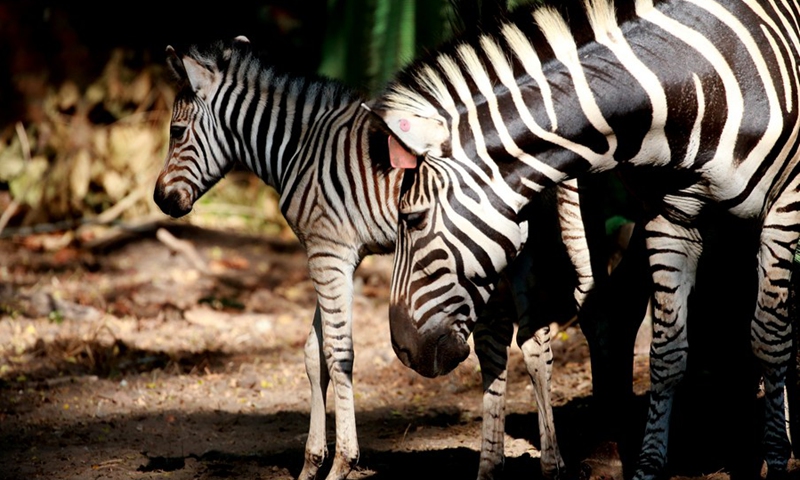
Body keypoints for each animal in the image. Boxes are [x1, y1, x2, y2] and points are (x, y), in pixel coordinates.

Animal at [150, 35, 604, 478]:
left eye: (177, 131)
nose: (160, 199)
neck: (297, 147)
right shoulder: (336, 255)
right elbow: (313, 353)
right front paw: (311, 462)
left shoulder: (327, 250)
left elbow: (338, 353)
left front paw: (342, 463)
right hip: (506, 254)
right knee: (530, 344)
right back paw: (544, 465)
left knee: (510, 341)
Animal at [372, 1, 800, 478]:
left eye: (412, 219)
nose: (403, 349)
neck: (681, 86)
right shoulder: (670, 217)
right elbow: (667, 352)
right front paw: (648, 465)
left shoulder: (784, 205)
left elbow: (770, 338)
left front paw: (776, 457)